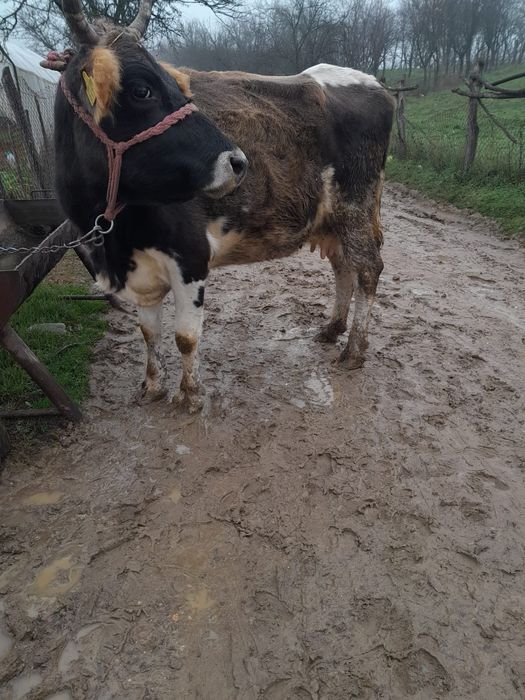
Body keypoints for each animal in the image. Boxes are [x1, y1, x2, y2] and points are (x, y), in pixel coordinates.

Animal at [49, 3, 394, 413]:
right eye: (142, 89)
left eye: (177, 84)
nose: (238, 161)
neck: (118, 238)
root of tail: (373, 84)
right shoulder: (142, 271)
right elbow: (148, 332)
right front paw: (152, 386)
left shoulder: (191, 257)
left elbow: (184, 336)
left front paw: (191, 394)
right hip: (333, 218)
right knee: (343, 267)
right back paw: (332, 330)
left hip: (357, 207)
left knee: (368, 270)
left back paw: (354, 350)